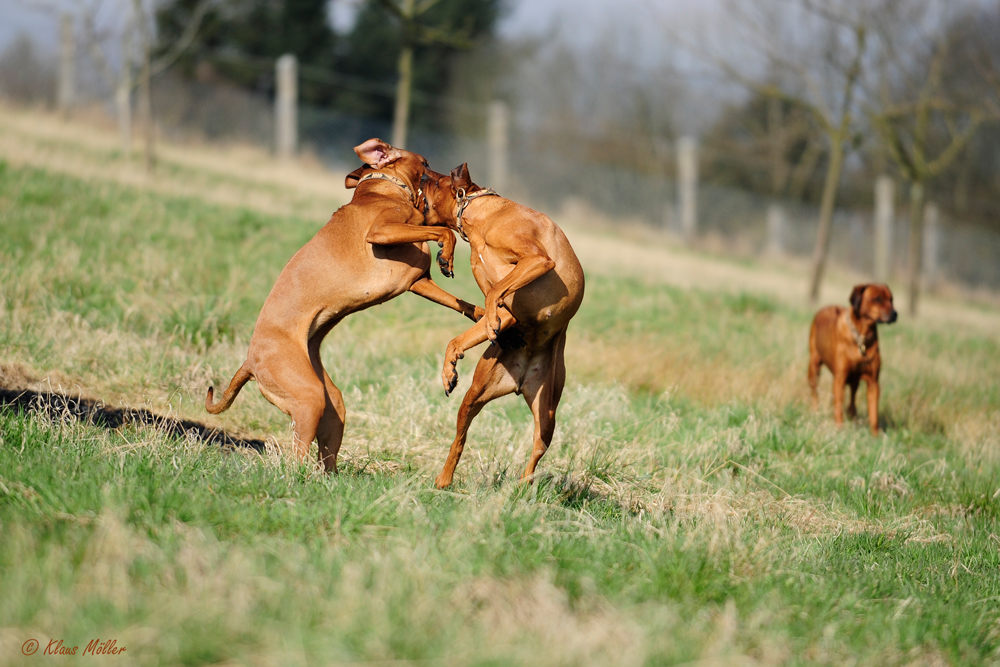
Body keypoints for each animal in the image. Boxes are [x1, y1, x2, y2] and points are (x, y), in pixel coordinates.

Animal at [204, 140, 480, 474]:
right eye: (425, 163)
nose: (445, 178)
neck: (384, 189)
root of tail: (250, 361)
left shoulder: (418, 282)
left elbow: (464, 304)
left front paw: (488, 317)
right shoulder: (382, 232)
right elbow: (445, 232)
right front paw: (447, 255)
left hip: (332, 403)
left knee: (327, 452)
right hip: (309, 397)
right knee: (295, 460)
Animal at [422, 162, 584, 486]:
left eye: (434, 180)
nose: (421, 175)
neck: (483, 216)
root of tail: (521, 382)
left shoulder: (537, 260)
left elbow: (496, 293)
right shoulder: (507, 310)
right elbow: (464, 332)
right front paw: (450, 367)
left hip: (547, 411)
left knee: (537, 450)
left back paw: (522, 485)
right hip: (474, 397)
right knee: (460, 439)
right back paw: (444, 480)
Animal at [808, 284, 904, 436]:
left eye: (891, 299)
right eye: (877, 299)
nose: (895, 314)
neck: (862, 336)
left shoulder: (873, 381)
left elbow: (873, 411)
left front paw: (875, 435)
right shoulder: (840, 378)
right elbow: (838, 404)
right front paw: (839, 428)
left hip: (854, 379)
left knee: (853, 396)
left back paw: (853, 415)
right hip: (814, 366)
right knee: (814, 390)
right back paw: (815, 410)